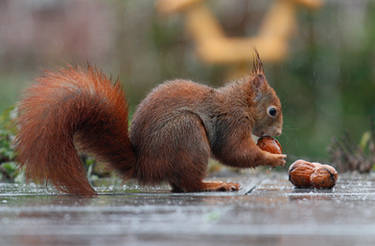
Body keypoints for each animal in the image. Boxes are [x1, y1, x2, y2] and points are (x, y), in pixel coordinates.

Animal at [13, 51, 284, 196]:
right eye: (272, 111)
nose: (279, 132)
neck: (242, 103)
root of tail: (144, 165)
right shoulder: (232, 122)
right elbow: (233, 152)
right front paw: (272, 157)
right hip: (187, 133)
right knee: (189, 184)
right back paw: (215, 184)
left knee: (178, 184)